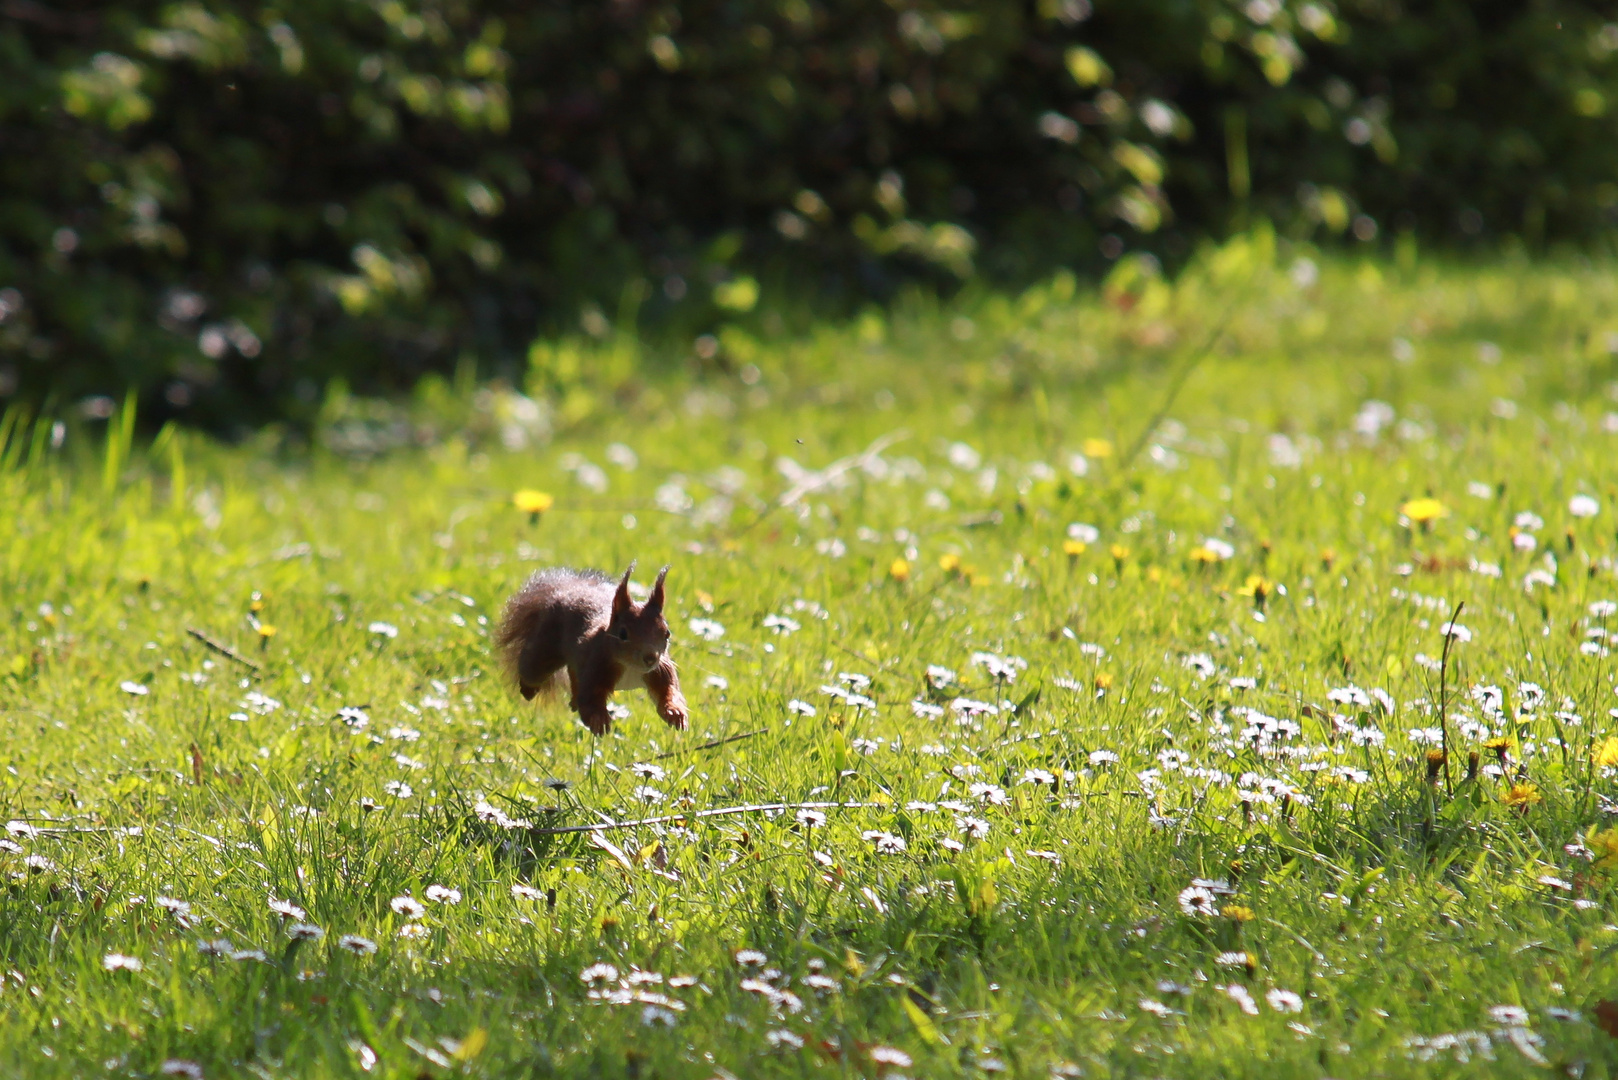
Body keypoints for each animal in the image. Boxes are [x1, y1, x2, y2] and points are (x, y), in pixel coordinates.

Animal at [498, 566, 689, 735]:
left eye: (667, 633)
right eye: (623, 634)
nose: (650, 658)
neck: (630, 667)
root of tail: (565, 591)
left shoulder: (660, 670)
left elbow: (669, 690)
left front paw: (676, 713)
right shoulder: (596, 666)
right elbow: (589, 700)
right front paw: (599, 721)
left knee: (572, 671)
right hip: (544, 650)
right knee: (532, 670)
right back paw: (528, 690)